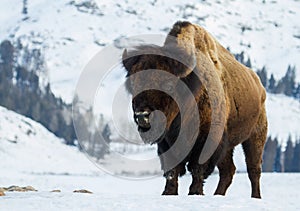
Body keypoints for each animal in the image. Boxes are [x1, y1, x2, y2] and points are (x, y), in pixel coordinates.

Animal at [122, 21, 268, 198]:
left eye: (169, 85)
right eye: (133, 84)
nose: (142, 116)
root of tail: (259, 85)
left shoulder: (207, 139)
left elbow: (198, 168)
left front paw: (195, 192)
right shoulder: (167, 142)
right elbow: (172, 170)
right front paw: (168, 193)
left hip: (255, 136)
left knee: (253, 169)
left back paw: (256, 197)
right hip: (228, 146)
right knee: (228, 170)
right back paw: (218, 195)